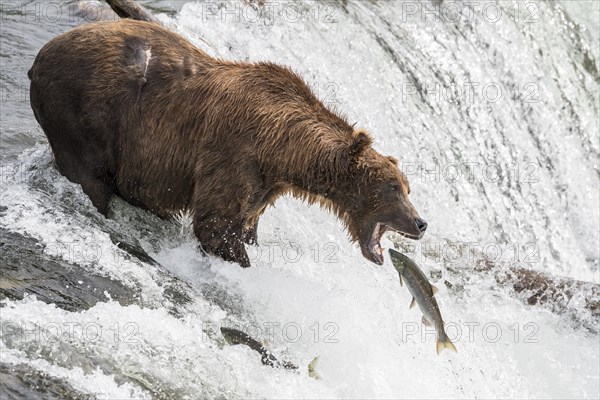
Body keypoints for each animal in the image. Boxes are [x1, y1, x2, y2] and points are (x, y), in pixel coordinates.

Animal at [28, 19, 426, 268]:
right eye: (393, 187)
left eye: (407, 187)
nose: (420, 222)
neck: (284, 150)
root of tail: (41, 56)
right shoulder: (235, 153)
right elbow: (216, 225)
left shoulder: (264, 185)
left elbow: (245, 224)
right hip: (85, 112)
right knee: (90, 177)